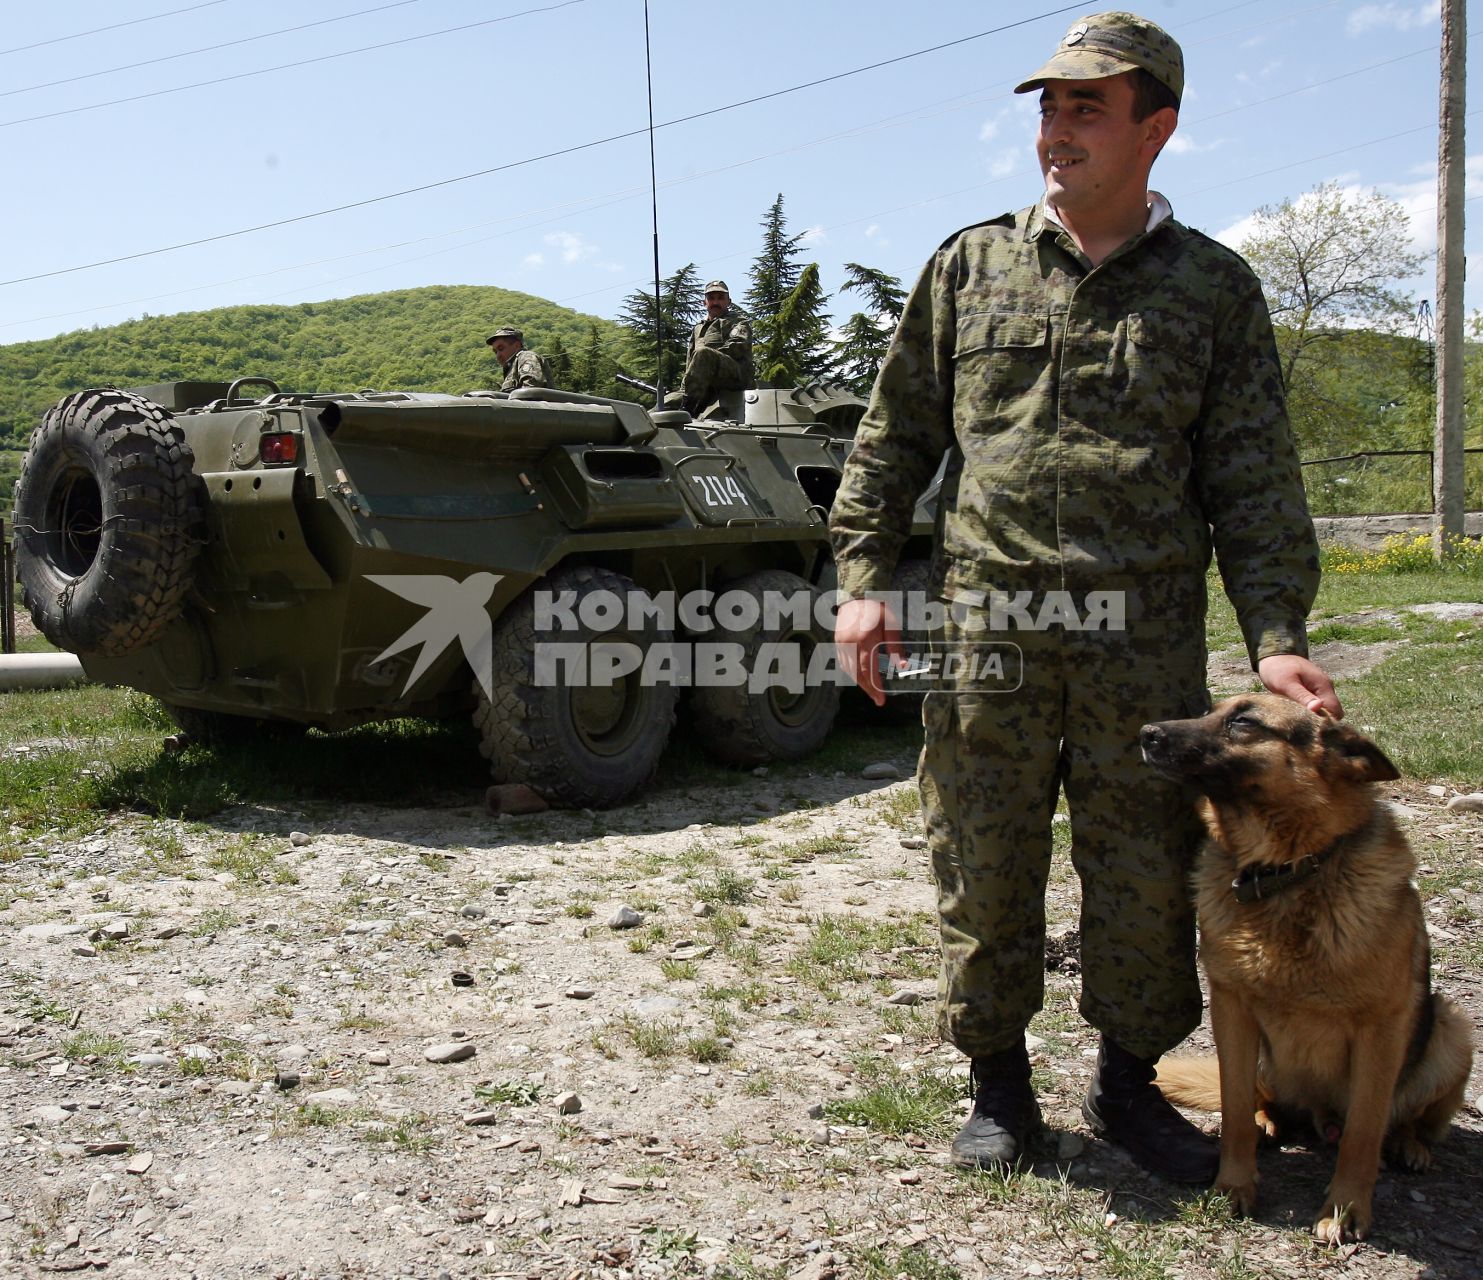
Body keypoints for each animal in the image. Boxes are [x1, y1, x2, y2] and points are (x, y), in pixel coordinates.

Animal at [1133, 697, 1471, 1245]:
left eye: (1243, 722)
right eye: (1211, 710)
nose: (1146, 733)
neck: (1286, 874)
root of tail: (1317, 1118)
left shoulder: (1382, 1027)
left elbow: (1363, 1131)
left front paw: (1345, 1208)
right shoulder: (1231, 1007)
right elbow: (1233, 1103)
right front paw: (1234, 1185)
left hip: (1453, 1030)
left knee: (1402, 1120)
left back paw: (1409, 1144)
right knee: (1261, 1098)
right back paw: (1267, 1120)